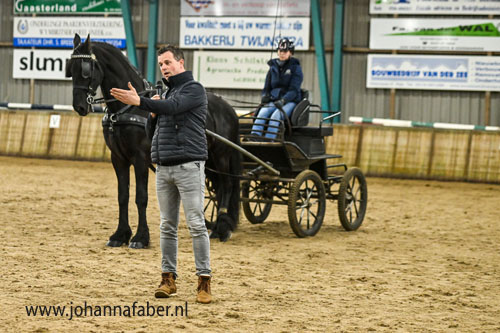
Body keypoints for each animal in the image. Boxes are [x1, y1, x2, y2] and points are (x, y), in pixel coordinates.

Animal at [65, 34, 241, 246]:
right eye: (70, 69)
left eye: (85, 69)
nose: (80, 106)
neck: (125, 110)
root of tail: (228, 108)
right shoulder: (118, 158)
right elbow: (122, 196)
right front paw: (120, 235)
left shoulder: (140, 158)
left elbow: (141, 197)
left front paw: (141, 237)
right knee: (217, 188)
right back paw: (216, 225)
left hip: (221, 155)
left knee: (226, 185)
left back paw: (222, 228)